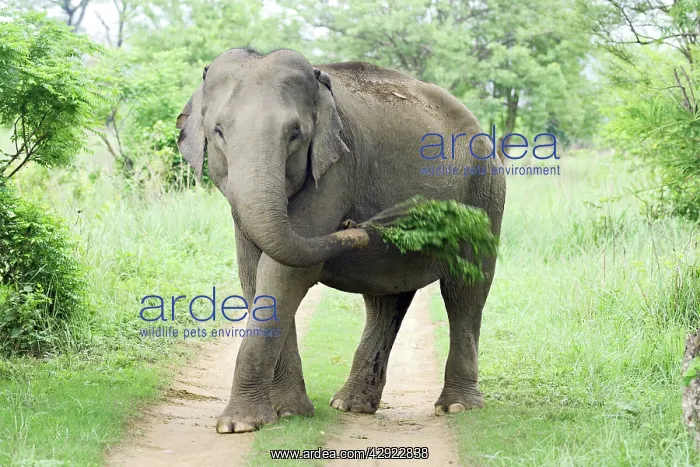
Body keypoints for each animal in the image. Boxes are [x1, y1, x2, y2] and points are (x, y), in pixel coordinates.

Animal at [176, 47, 506, 433]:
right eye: (218, 132)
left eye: (296, 134)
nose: (353, 221)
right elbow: (254, 273)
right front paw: (290, 413)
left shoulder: (336, 170)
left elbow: (283, 271)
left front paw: (240, 425)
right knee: (385, 301)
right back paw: (351, 405)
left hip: (484, 192)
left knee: (464, 291)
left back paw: (456, 407)